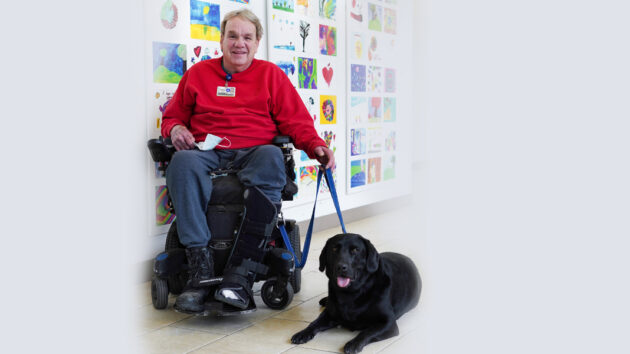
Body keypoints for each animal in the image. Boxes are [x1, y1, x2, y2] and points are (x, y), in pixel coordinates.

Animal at [292, 234, 422, 352]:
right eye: (334, 249)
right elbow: (314, 323)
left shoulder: (388, 322)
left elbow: (367, 331)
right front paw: (302, 333)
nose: (341, 267)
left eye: (355, 250)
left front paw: (353, 343)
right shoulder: (328, 314)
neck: (351, 293)